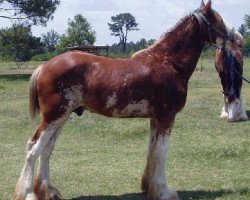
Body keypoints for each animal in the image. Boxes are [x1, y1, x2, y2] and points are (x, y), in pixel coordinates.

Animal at [13, 0, 238, 199]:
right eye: (217, 19)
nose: (238, 38)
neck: (168, 63)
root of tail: (45, 66)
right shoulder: (167, 116)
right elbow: (162, 152)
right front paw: (164, 192)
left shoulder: (156, 118)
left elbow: (152, 150)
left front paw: (149, 188)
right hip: (54, 116)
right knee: (34, 147)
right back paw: (28, 193)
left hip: (62, 117)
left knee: (47, 149)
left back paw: (49, 192)